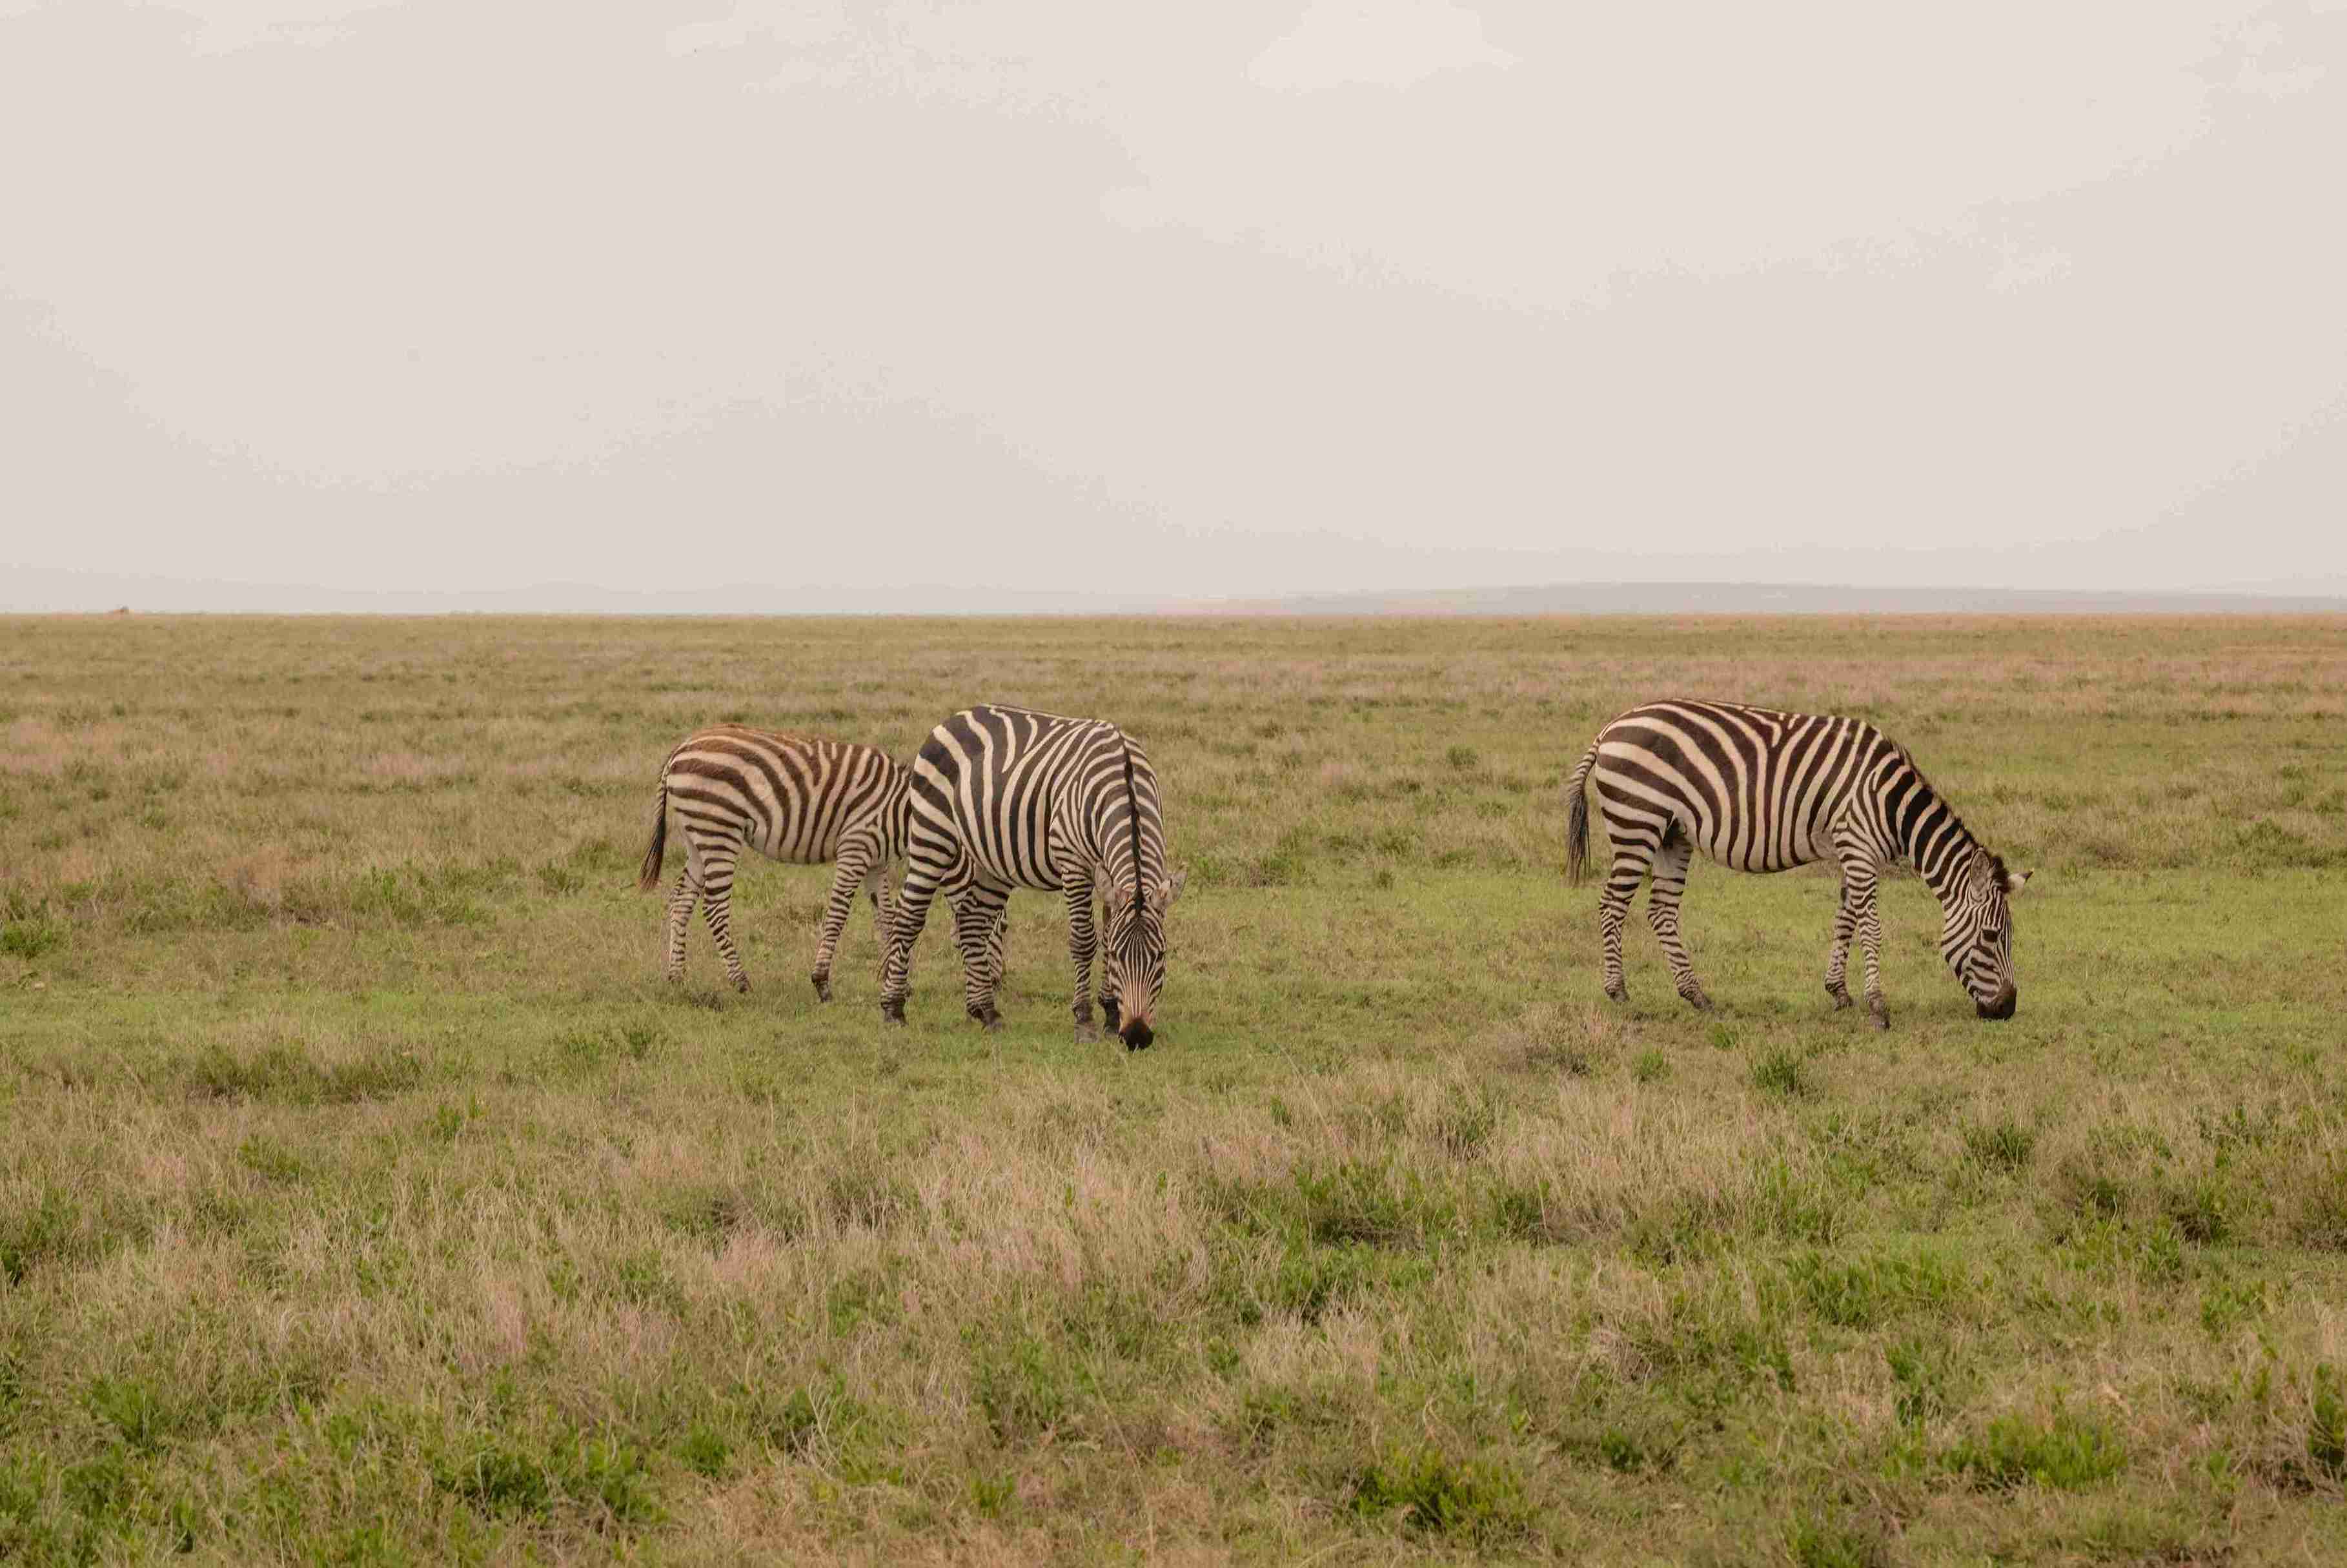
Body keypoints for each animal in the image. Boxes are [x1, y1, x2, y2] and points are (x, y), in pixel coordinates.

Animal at [637, 724, 918, 1000]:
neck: (900, 809)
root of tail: (680, 750)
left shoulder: (876, 863)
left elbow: (887, 917)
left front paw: (898, 983)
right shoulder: (856, 847)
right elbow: (838, 914)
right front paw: (822, 982)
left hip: (696, 838)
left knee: (681, 899)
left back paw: (676, 977)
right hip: (718, 830)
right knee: (714, 907)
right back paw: (741, 982)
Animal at [878, 704, 1182, 1049]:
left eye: (1160, 956)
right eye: (1119, 958)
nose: (1136, 1037)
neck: (1125, 783)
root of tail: (956, 716)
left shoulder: (1110, 875)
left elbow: (1107, 933)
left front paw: (1110, 1014)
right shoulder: (1074, 863)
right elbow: (1084, 941)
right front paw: (1085, 1020)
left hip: (991, 860)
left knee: (971, 921)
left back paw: (986, 1010)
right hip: (932, 834)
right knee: (909, 917)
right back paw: (894, 1008)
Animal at [1564, 700, 2030, 1027]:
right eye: (1991, 936)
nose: (2007, 1009)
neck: (1890, 802)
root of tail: (1611, 728)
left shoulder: (1849, 852)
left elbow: (1845, 920)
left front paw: (1839, 992)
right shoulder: (1859, 848)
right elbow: (1871, 926)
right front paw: (1878, 1007)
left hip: (1672, 835)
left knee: (1661, 911)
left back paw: (1696, 994)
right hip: (1637, 824)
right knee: (1612, 905)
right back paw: (1617, 989)